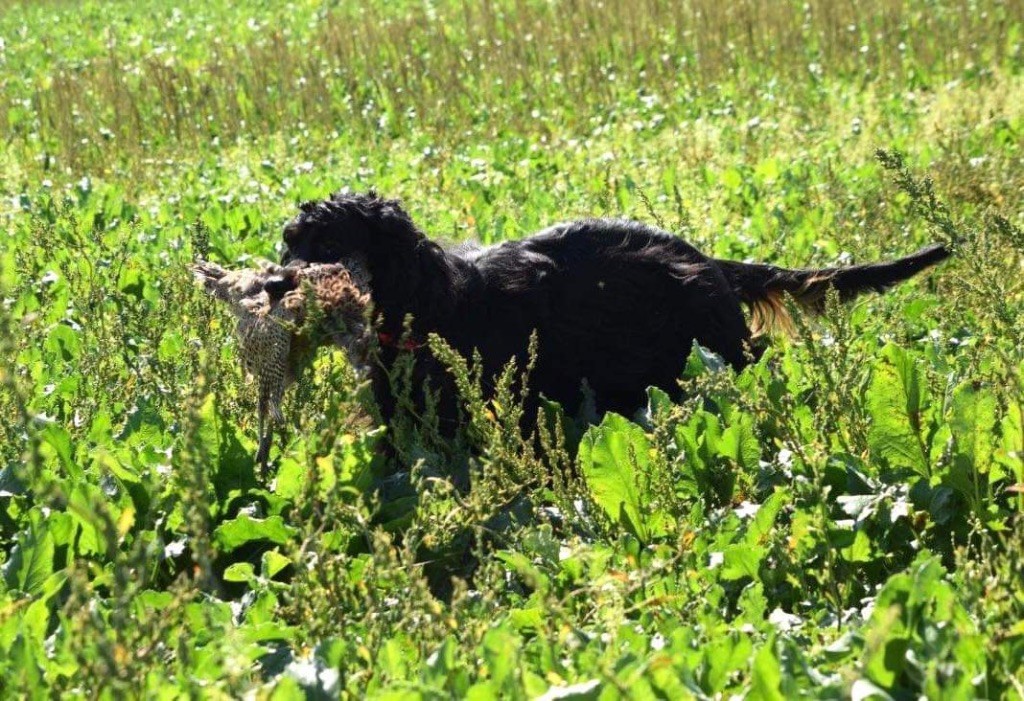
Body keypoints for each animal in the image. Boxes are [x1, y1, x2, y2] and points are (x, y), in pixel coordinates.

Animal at [274, 191, 950, 429]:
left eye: (330, 246)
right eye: (290, 240)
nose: (278, 284)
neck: (433, 301)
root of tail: (703, 258)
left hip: (708, 342)